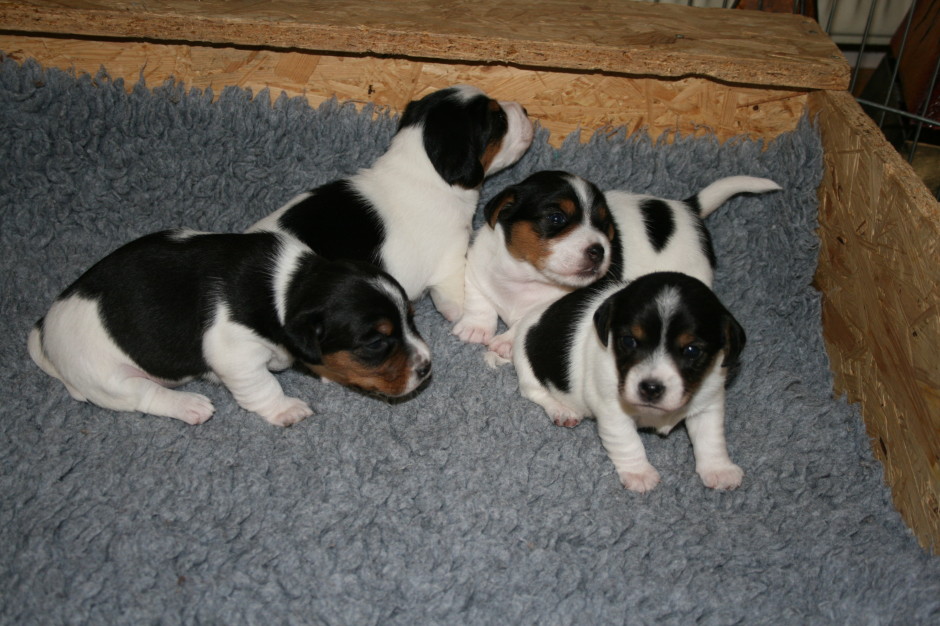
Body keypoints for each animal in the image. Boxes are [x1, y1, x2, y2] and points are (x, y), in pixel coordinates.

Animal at [25, 229, 430, 424]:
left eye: (411, 317)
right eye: (374, 343)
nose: (427, 367)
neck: (288, 288)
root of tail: (45, 331)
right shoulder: (235, 354)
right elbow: (263, 387)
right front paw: (286, 410)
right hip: (109, 377)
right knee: (145, 395)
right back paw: (189, 405)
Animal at [450, 168, 612, 358]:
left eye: (604, 224)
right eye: (556, 218)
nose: (598, 251)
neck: (526, 276)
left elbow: (523, 323)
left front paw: (505, 342)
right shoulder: (475, 270)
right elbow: (478, 300)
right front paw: (475, 327)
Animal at [510, 270, 744, 490]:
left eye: (692, 350)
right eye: (629, 341)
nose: (651, 388)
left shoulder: (708, 403)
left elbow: (711, 439)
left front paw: (719, 470)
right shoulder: (612, 410)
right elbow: (628, 442)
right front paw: (639, 473)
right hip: (527, 366)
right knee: (535, 392)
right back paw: (562, 411)